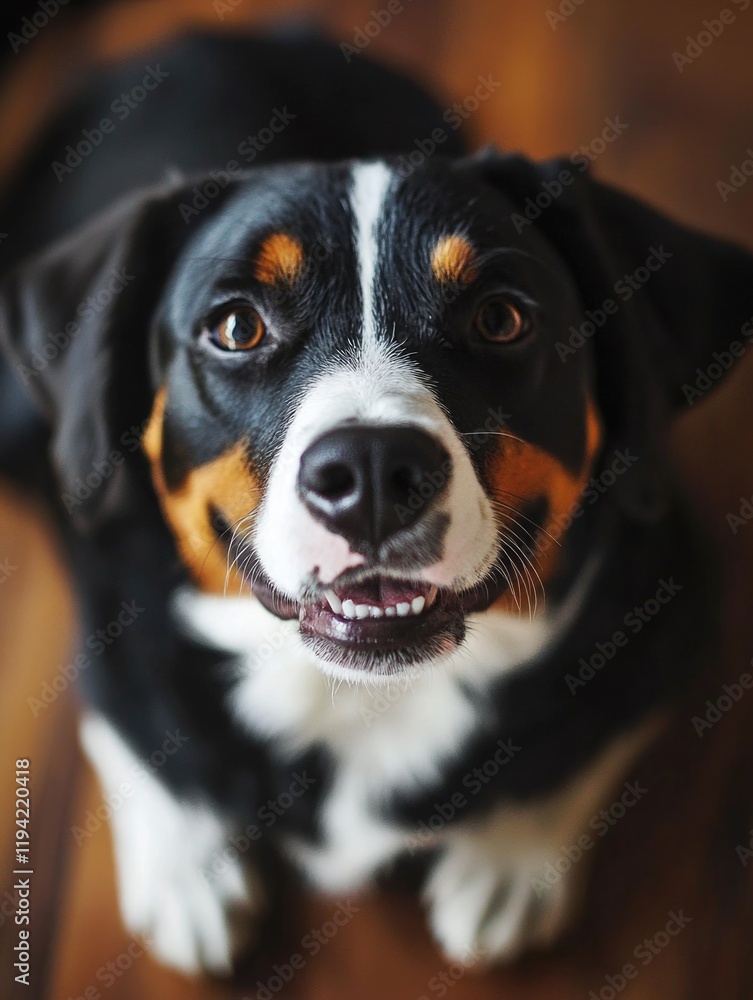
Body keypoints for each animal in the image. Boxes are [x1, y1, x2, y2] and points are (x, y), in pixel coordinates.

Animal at [1, 29, 752, 976]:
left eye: (500, 318)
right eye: (236, 326)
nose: (370, 468)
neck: (361, 698)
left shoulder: (672, 591)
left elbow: (582, 746)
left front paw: (504, 865)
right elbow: (132, 724)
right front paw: (190, 872)